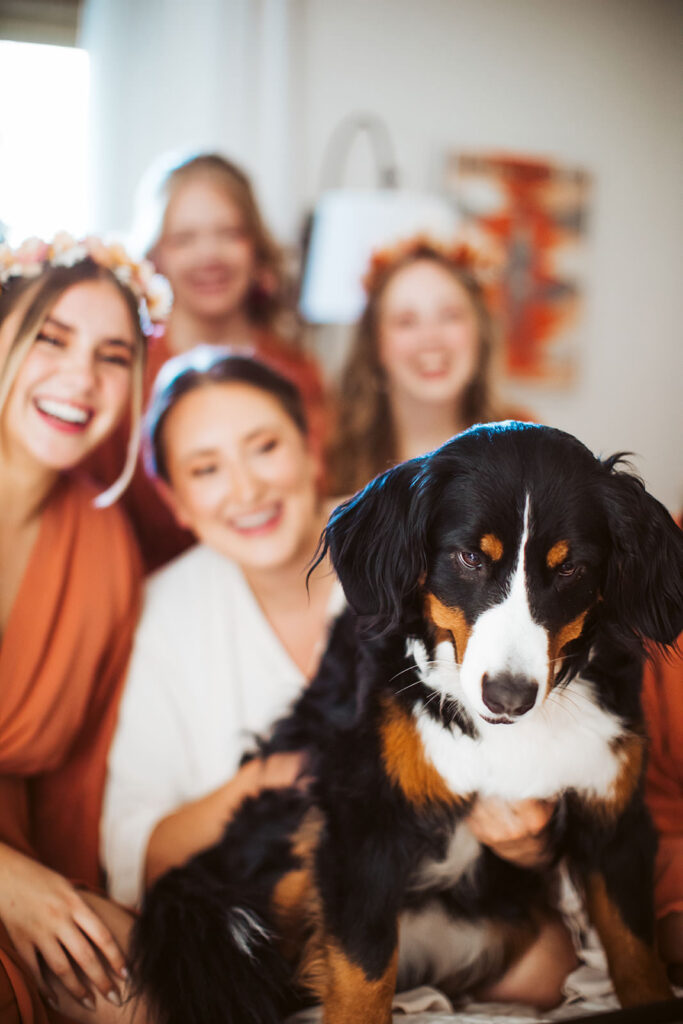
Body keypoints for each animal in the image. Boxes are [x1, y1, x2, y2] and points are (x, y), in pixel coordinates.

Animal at [129, 421, 683, 1024]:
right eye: (469, 557)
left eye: (570, 568)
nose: (509, 695)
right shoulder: (363, 826)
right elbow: (362, 978)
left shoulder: (615, 825)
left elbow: (638, 960)